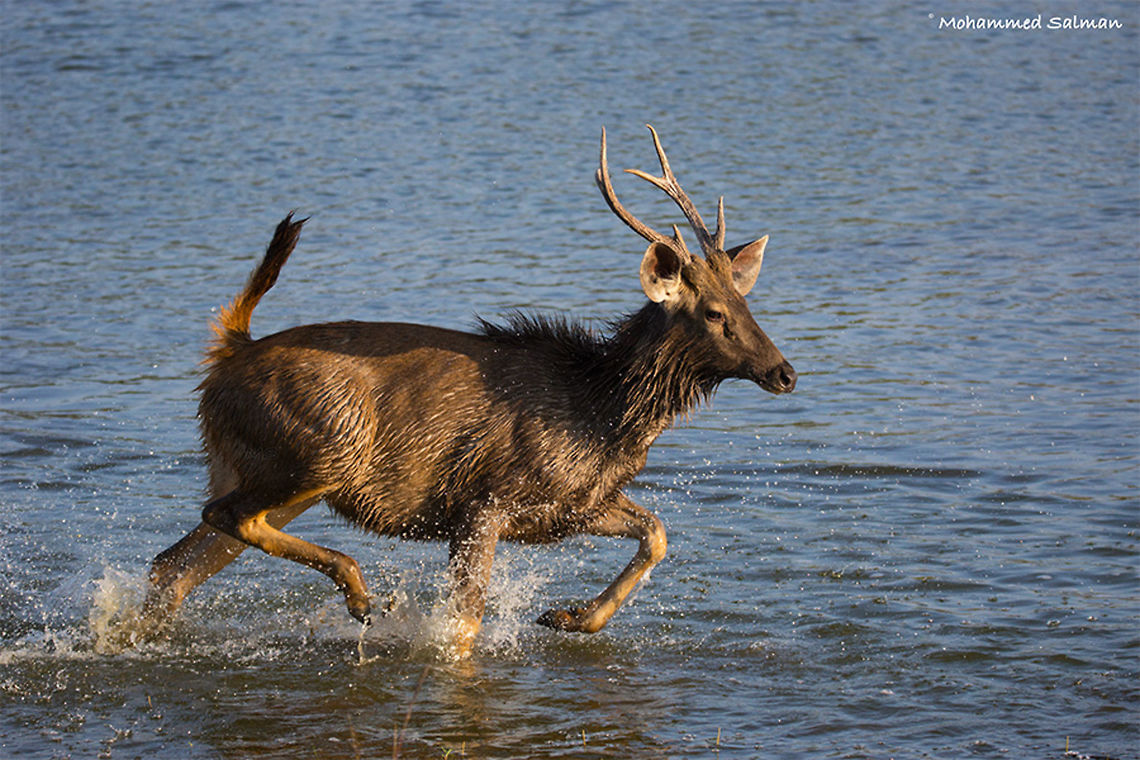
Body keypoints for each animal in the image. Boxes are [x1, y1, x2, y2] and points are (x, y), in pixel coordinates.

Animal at [139, 126, 797, 657]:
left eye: (747, 304)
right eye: (714, 313)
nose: (785, 372)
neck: (600, 413)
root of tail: (227, 354)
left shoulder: (574, 506)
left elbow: (656, 534)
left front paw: (568, 616)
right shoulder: (483, 503)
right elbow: (462, 627)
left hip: (254, 463)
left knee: (173, 563)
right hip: (321, 448)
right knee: (220, 519)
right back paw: (360, 593)